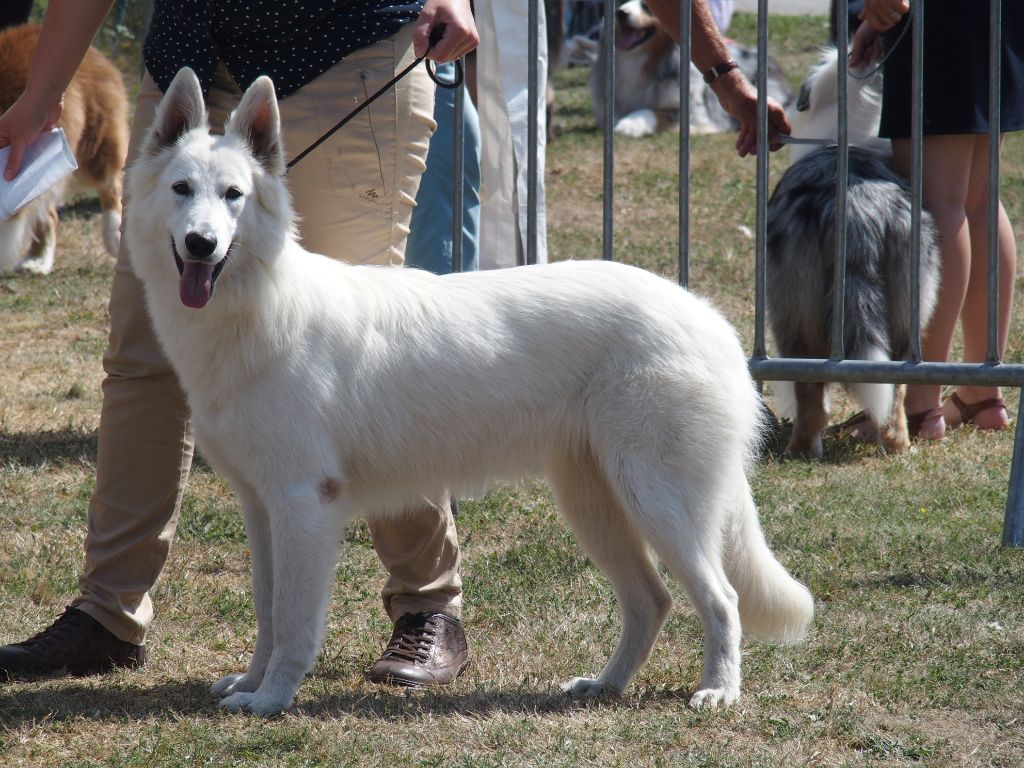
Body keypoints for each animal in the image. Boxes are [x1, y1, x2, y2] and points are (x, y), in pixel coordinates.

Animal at [125, 67, 814, 716]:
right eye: (182, 190)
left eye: (234, 196)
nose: (202, 244)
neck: (256, 307)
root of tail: (708, 318)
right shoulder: (262, 506)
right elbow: (267, 611)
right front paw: (249, 683)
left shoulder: (303, 504)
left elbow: (293, 621)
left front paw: (271, 698)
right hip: (596, 504)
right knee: (653, 599)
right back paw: (605, 685)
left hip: (659, 502)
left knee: (722, 599)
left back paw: (718, 690)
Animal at [587, 0, 793, 137]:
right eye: (620, 3)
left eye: (647, 6)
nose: (621, 13)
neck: (640, 60)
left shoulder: (695, 116)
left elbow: (653, 111)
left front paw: (629, 125)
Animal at [766, 48, 941, 458]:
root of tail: (858, 207)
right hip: (910, 304)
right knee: (893, 388)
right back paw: (897, 447)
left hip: (794, 310)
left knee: (810, 392)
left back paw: (801, 450)